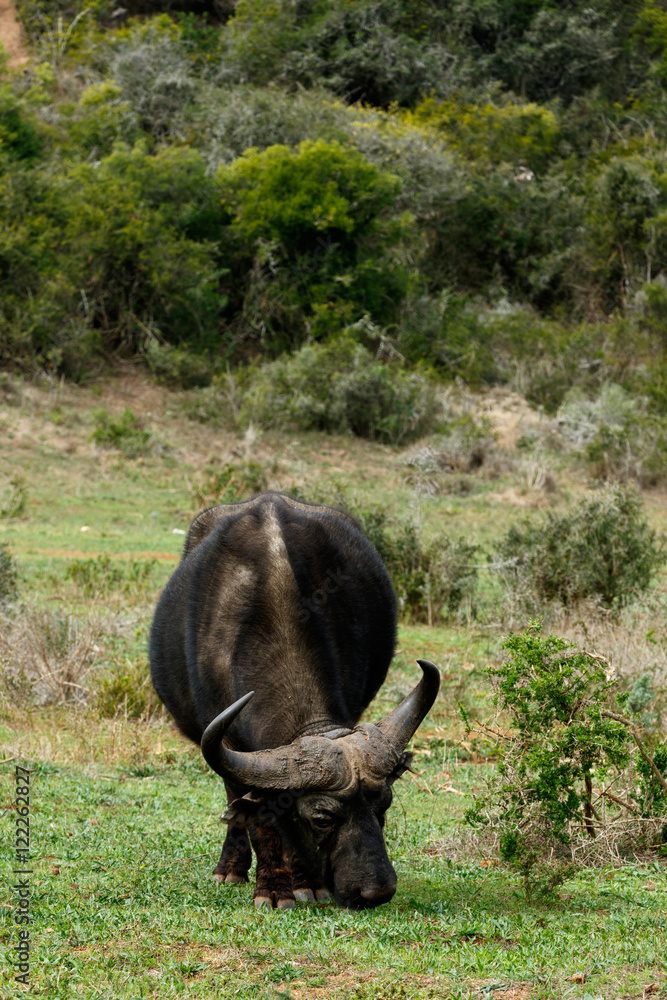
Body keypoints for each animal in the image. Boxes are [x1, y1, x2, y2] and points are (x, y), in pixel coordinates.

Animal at [149, 492, 439, 910]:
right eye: (321, 817)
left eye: (383, 804)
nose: (376, 891)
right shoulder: (234, 751)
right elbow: (259, 819)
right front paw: (274, 888)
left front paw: (307, 883)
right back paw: (230, 869)